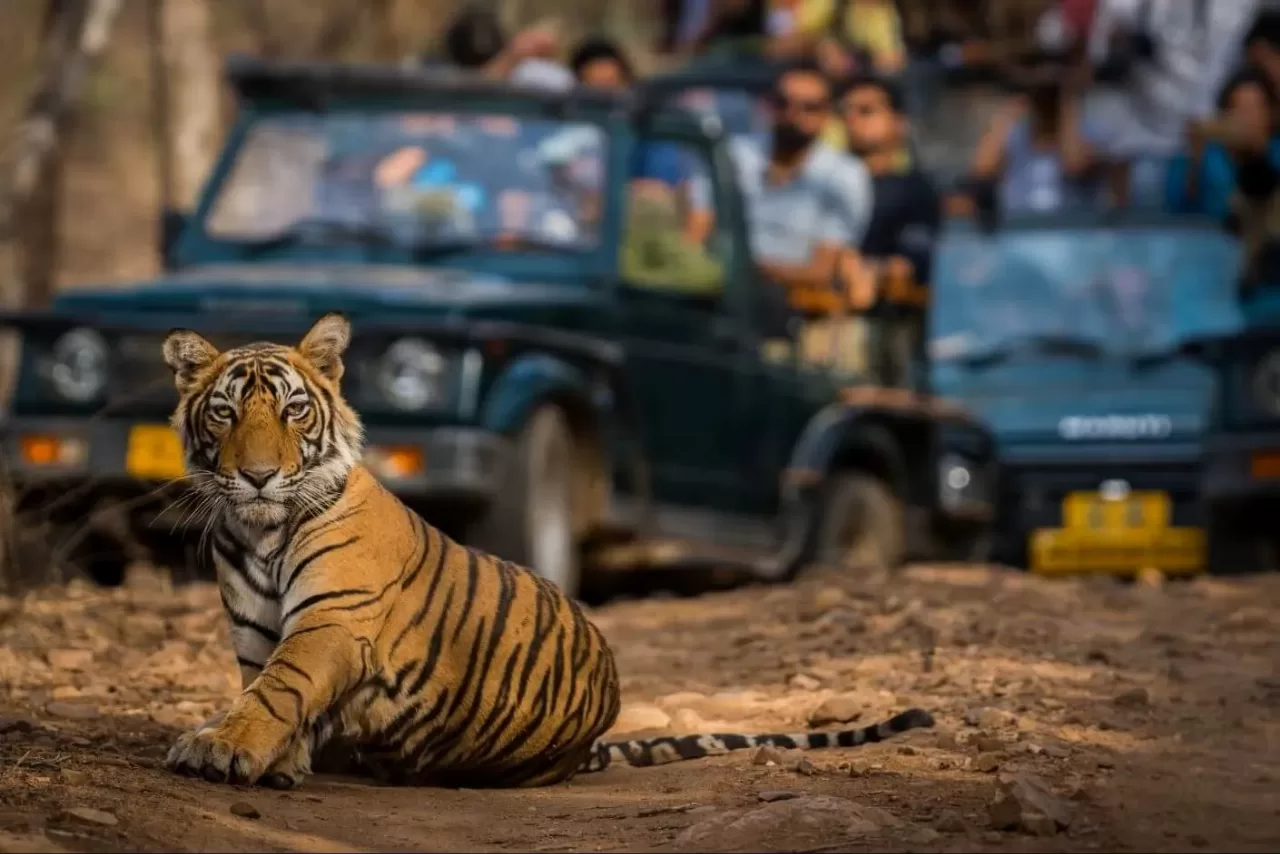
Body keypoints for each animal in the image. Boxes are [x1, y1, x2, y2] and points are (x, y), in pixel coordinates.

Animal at [159, 312, 936, 789]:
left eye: (294, 411)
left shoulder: (332, 621)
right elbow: (265, 689)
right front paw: (271, 757)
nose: (259, 475)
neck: (260, 531)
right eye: (225, 413)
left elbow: (278, 689)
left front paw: (221, 748)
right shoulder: (255, 632)